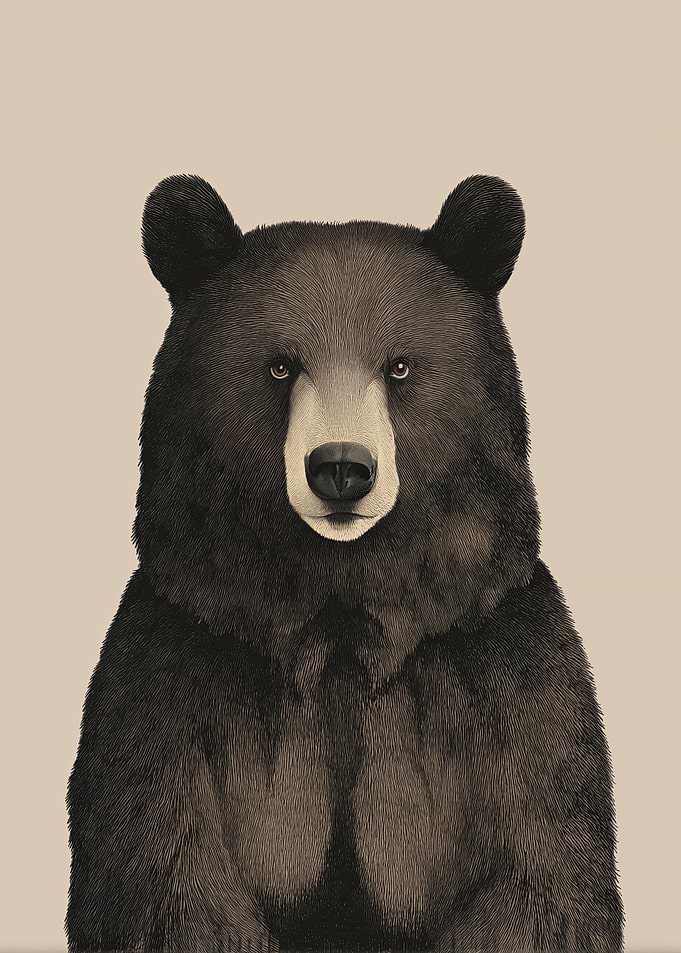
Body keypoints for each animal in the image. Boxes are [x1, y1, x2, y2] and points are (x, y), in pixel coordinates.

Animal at [66, 173, 624, 953]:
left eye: (399, 365)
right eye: (279, 364)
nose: (340, 468)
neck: (339, 620)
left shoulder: (498, 675)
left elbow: (537, 877)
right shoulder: (177, 673)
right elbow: (163, 878)